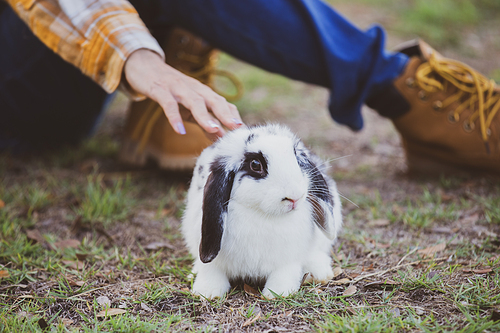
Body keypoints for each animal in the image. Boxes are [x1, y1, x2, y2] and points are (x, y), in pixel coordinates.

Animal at [182, 122, 342, 298]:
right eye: (255, 164)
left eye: (295, 157)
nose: (294, 197)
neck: (262, 214)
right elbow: (211, 269)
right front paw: (207, 292)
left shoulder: (288, 260)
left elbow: (285, 273)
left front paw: (278, 293)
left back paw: (319, 272)